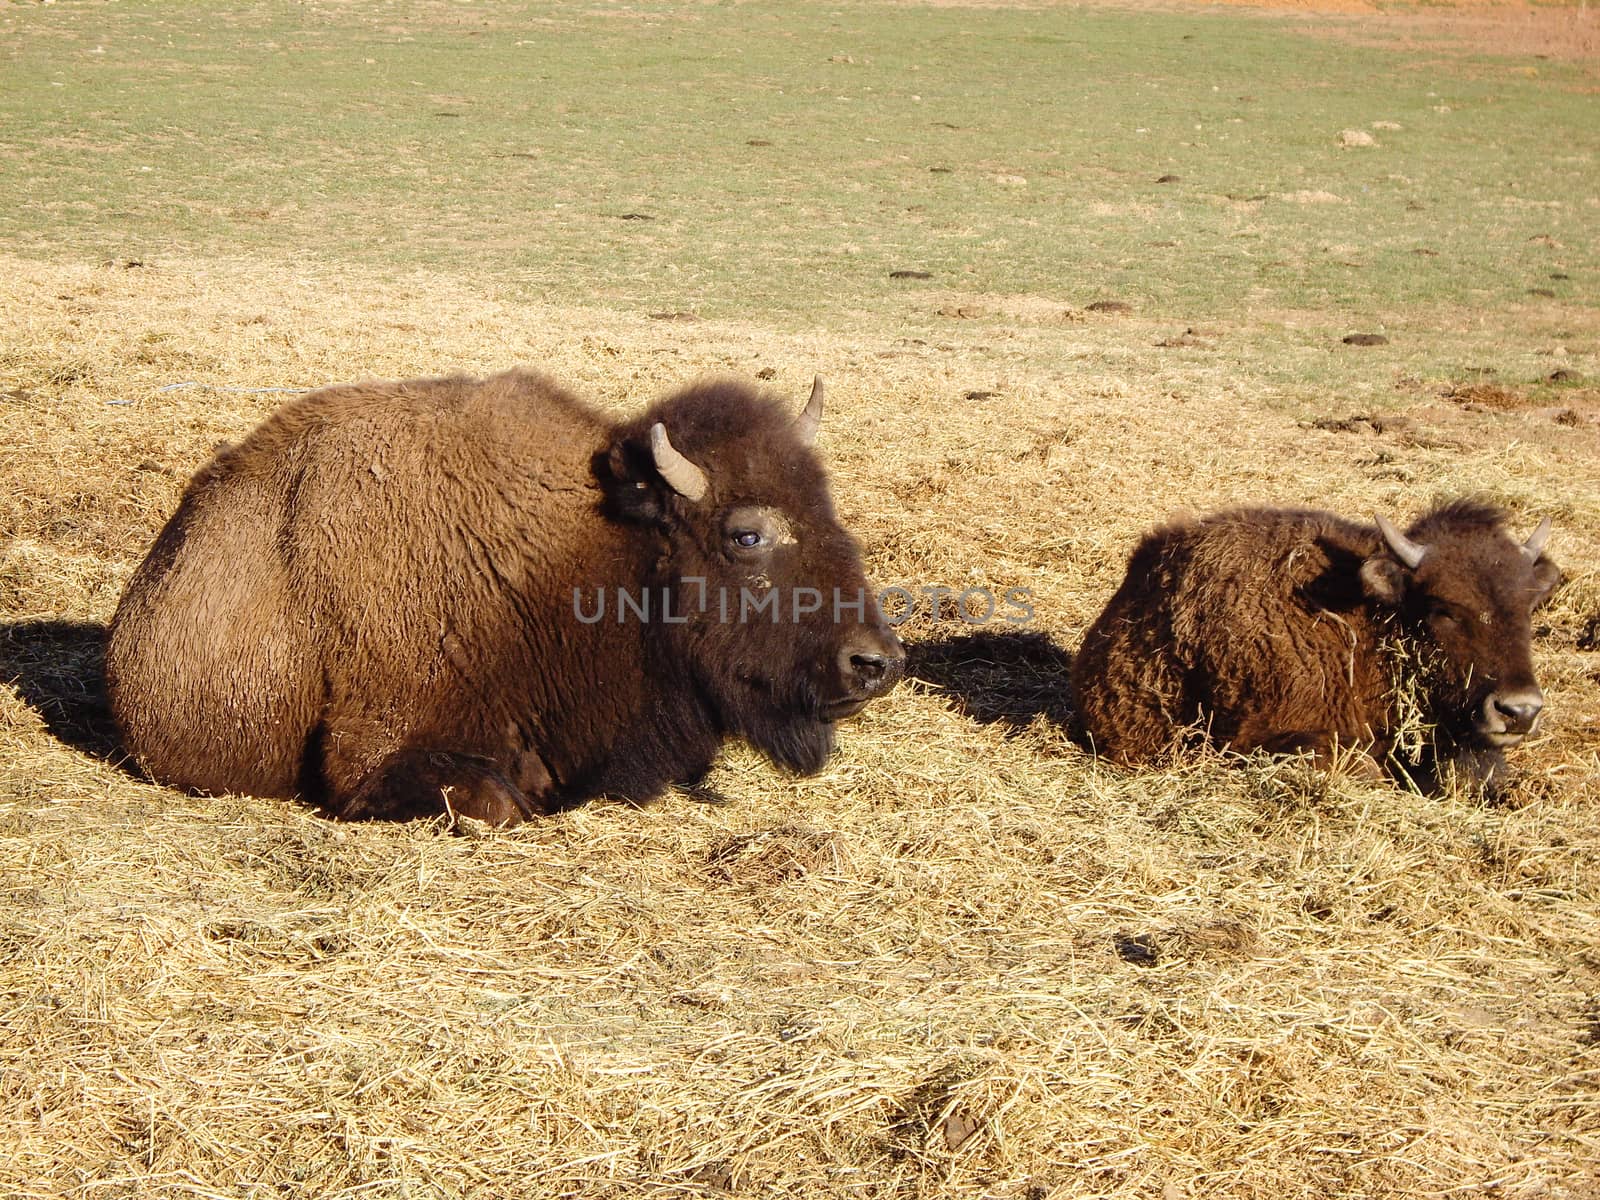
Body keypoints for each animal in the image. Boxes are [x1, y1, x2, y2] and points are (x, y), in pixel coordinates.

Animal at [106, 371, 908, 825]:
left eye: (828, 507)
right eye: (746, 535)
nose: (876, 662)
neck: (606, 553)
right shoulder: (373, 751)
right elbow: (496, 803)